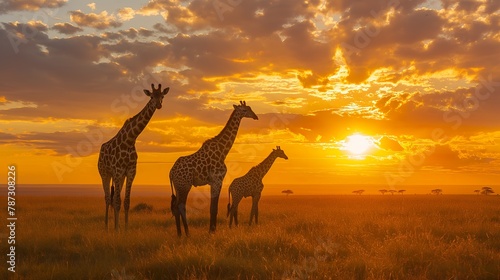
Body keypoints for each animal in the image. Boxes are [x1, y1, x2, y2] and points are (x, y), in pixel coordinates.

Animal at [97, 83, 170, 232]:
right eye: (151, 96)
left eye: (162, 96)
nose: (159, 105)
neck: (130, 140)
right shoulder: (118, 170)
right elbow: (117, 201)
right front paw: (116, 230)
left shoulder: (130, 171)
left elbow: (126, 201)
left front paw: (125, 229)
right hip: (105, 173)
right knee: (107, 198)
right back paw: (107, 227)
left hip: (118, 176)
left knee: (114, 198)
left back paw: (114, 225)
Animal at [171, 101, 260, 236]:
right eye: (244, 110)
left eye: (250, 108)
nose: (256, 116)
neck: (223, 151)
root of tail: (171, 172)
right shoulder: (217, 180)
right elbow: (214, 208)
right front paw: (212, 230)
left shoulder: (214, 182)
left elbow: (212, 207)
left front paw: (212, 229)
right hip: (184, 185)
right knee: (181, 206)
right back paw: (187, 233)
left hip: (178, 186)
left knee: (176, 206)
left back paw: (180, 233)